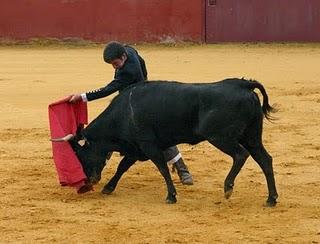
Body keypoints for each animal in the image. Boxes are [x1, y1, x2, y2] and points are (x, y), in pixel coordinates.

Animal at [52, 77, 278, 206]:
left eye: (80, 155)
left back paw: (228, 188)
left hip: (220, 137)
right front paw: (108, 188)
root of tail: (243, 84)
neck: (123, 113)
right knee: (265, 159)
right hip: (252, 136)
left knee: (241, 155)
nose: (87, 183)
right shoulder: (135, 148)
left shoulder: (148, 145)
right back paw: (271, 199)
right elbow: (122, 167)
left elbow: (162, 168)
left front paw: (171, 196)